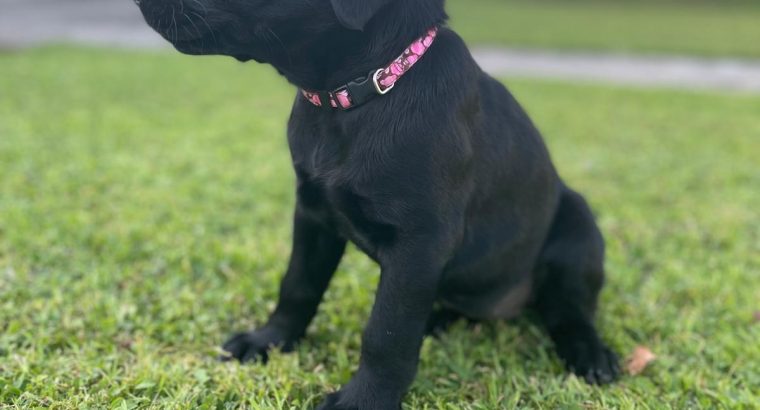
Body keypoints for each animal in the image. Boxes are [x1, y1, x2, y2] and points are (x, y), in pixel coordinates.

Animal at [138, 0, 616, 406]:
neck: (363, 92)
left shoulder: (419, 243)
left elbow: (386, 333)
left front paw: (363, 401)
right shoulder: (313, 215)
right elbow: (297, 286)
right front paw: (268, 341)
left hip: (578, 230)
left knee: (569, 312)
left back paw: (591, 355)